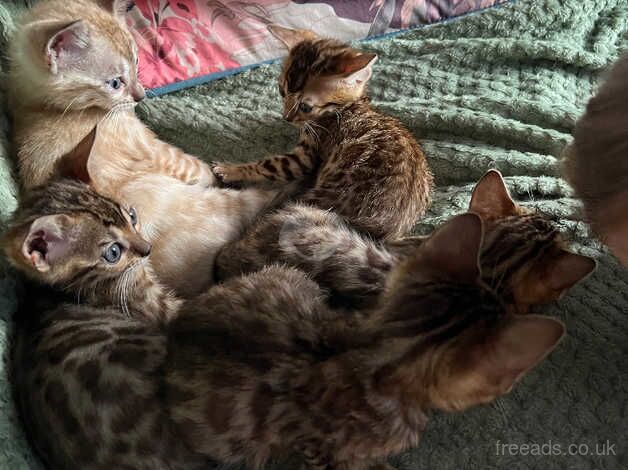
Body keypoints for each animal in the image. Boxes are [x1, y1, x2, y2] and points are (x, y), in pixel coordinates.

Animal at [7, 0, 280, 296]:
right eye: (115, 83)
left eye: (137, 62)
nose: (140, 96)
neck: (42, 106)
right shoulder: (151, 146)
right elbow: (197, 168)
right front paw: (214, 175)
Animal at [211, 25, 432, 239]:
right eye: (281, 91)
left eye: (306, 107)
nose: (286, 117)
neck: (348, 107)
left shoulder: (306, 155)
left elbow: (268, 165)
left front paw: (229, 170)